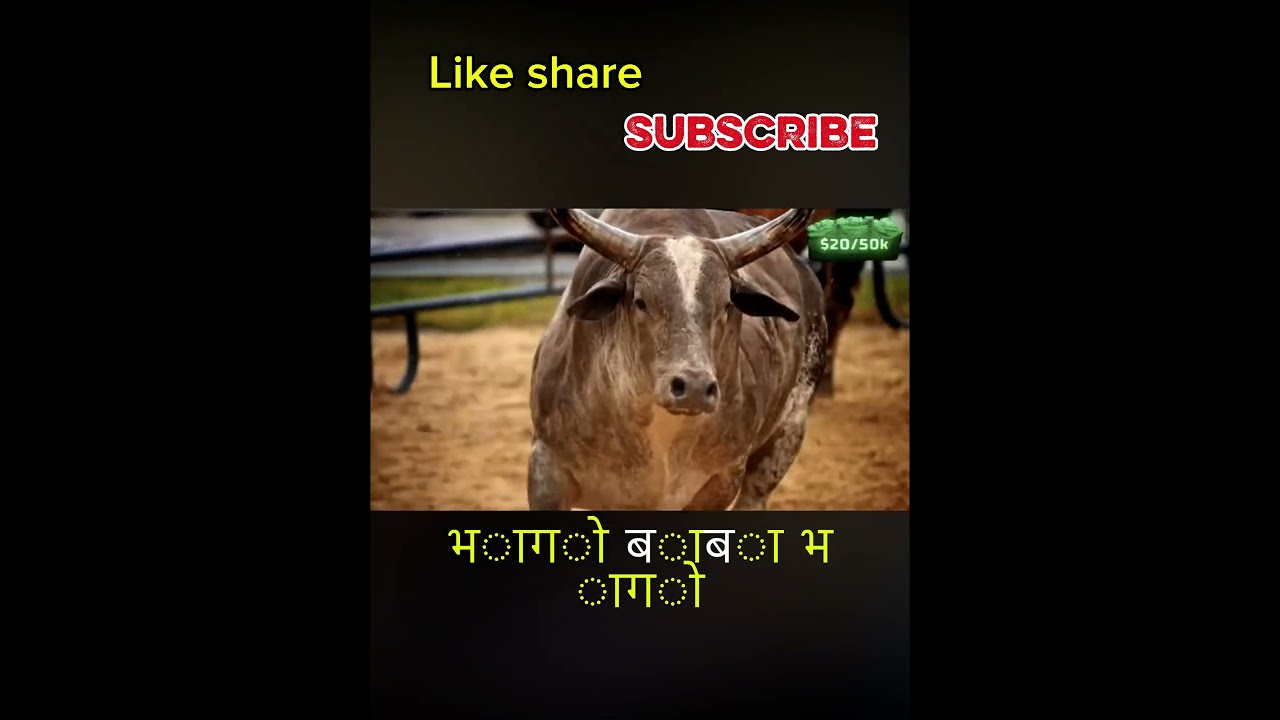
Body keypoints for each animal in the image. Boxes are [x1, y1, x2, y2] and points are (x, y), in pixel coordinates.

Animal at [527, 208, 826, 511]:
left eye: (726, 304)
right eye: (641, 301)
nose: (694, 388)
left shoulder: (722, 480)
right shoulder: (546, 469)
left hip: (785, 439)